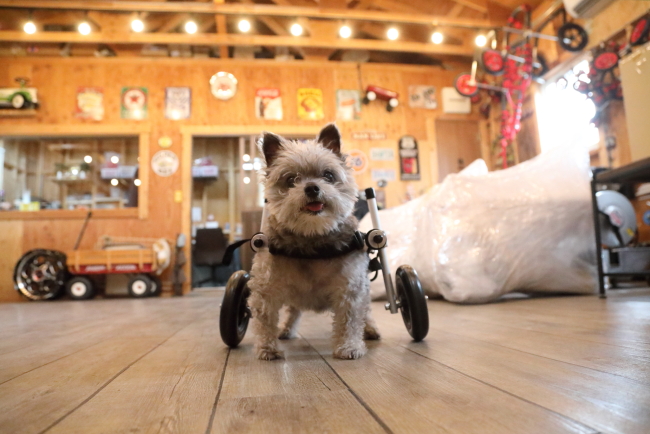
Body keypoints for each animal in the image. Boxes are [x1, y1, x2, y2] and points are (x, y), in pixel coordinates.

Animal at [248, 122, 380, 360]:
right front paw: (266, 348)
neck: (311, 240)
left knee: (367, 310)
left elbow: (350, 320)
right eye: (291, 180)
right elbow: (265, 321)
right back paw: (286, 329)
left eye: (328, 175)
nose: (312, 187)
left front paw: (349, 347)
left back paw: (371, 329)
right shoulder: (266, 289)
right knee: (293, 310)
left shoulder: (351, 288)